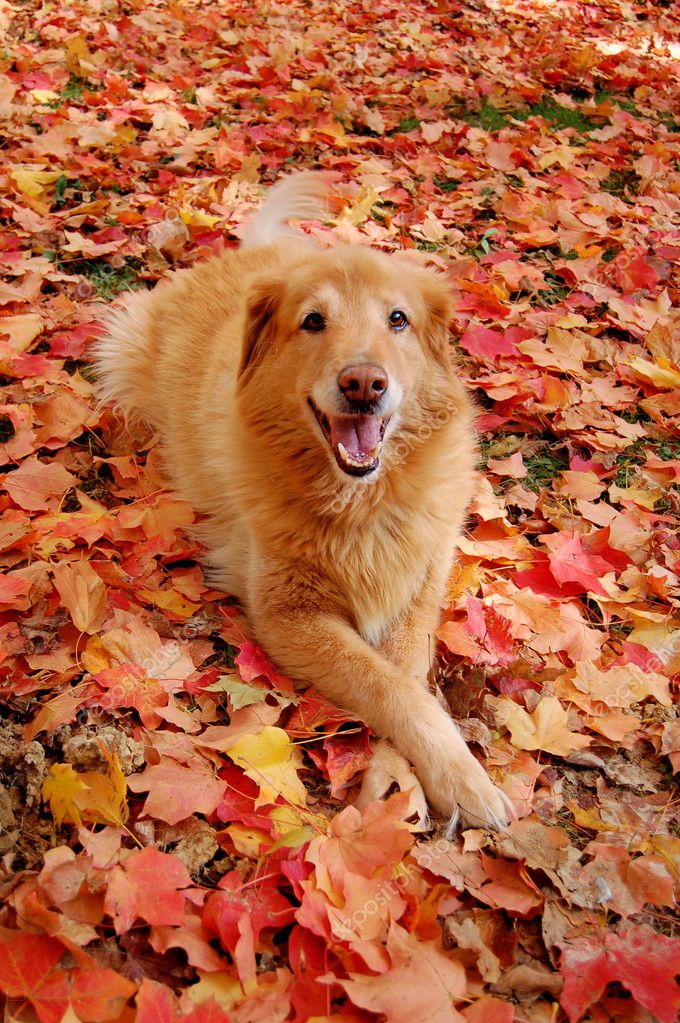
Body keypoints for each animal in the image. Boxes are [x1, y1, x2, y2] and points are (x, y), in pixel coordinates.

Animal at [94, 173, 509, 830]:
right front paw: (453, 777)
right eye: (313, 321)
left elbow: (407, 679)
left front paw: (405, 780)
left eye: (398, 319)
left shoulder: (414, 597)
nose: (364, 384)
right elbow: (390, 686)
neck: (360, 503)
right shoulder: (288, 615)